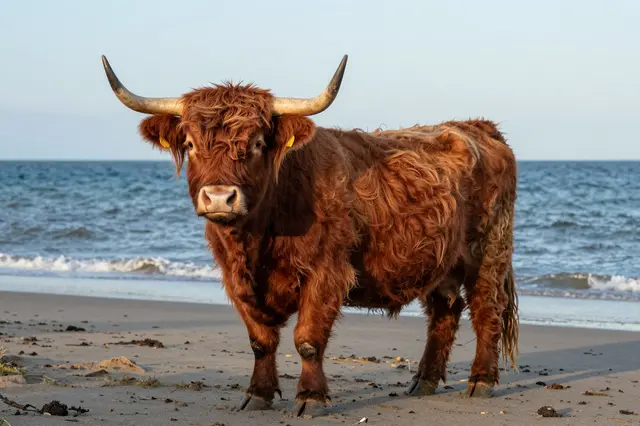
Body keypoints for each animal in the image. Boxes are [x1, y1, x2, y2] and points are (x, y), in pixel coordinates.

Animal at [100, 54, 519, 416]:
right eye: (189, 144)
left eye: (257, 143)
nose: (219, 197)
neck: (257, 238)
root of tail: (476, 126)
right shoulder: (235, 280)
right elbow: (260, 341)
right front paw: (257, 394)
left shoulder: (326, 271)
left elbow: (307, 340)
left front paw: (311, 398)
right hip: (441, 259)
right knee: (445, 310)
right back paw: (424, 381)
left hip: (489, 249)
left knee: (486, 308)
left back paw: (481, 380)